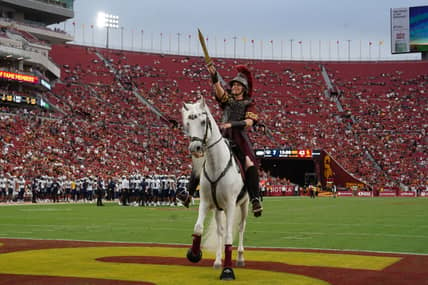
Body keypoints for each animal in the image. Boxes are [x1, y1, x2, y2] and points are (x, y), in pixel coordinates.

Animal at [182, 96, 249, 278]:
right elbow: (198, 228)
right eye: (187, 123)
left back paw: (240, 258)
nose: (195, 148)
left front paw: (228, 270)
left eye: (203, 121)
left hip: (244, 204)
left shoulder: (231, 205)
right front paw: (194, 254)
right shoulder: (206, 202)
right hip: (219, 209)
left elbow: (229, 236)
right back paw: (218, 261)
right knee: (220, 230)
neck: (215, 164)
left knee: (241, 227)